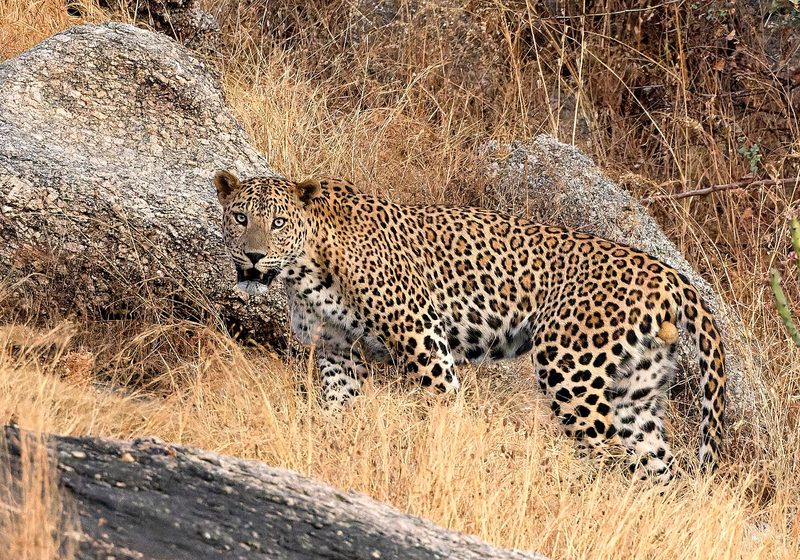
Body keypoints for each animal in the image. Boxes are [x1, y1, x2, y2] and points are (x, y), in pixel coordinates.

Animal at [213, 170, 726, 482]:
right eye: (240, 216)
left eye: (279, 223)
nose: (253, 256)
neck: (304, 269)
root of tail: (671, 275)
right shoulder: (338, 349)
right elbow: (338, 405)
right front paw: (332, 441)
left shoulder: (419, 332)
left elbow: (443, 401)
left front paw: (444, 454)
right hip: (634, 393)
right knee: (656, 472)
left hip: (570, 372)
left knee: (609, 454)